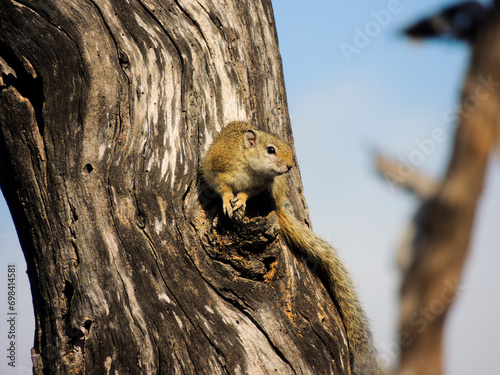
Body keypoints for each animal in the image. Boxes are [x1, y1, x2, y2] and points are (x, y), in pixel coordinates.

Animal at [199, 122, 378, 374]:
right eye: (271, 150)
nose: (290, 165)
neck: (251, 168)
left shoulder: (260, 186)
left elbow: (246, 193)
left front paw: (241, 200)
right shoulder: (219, 166)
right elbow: (223, 187)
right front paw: (226, 200)